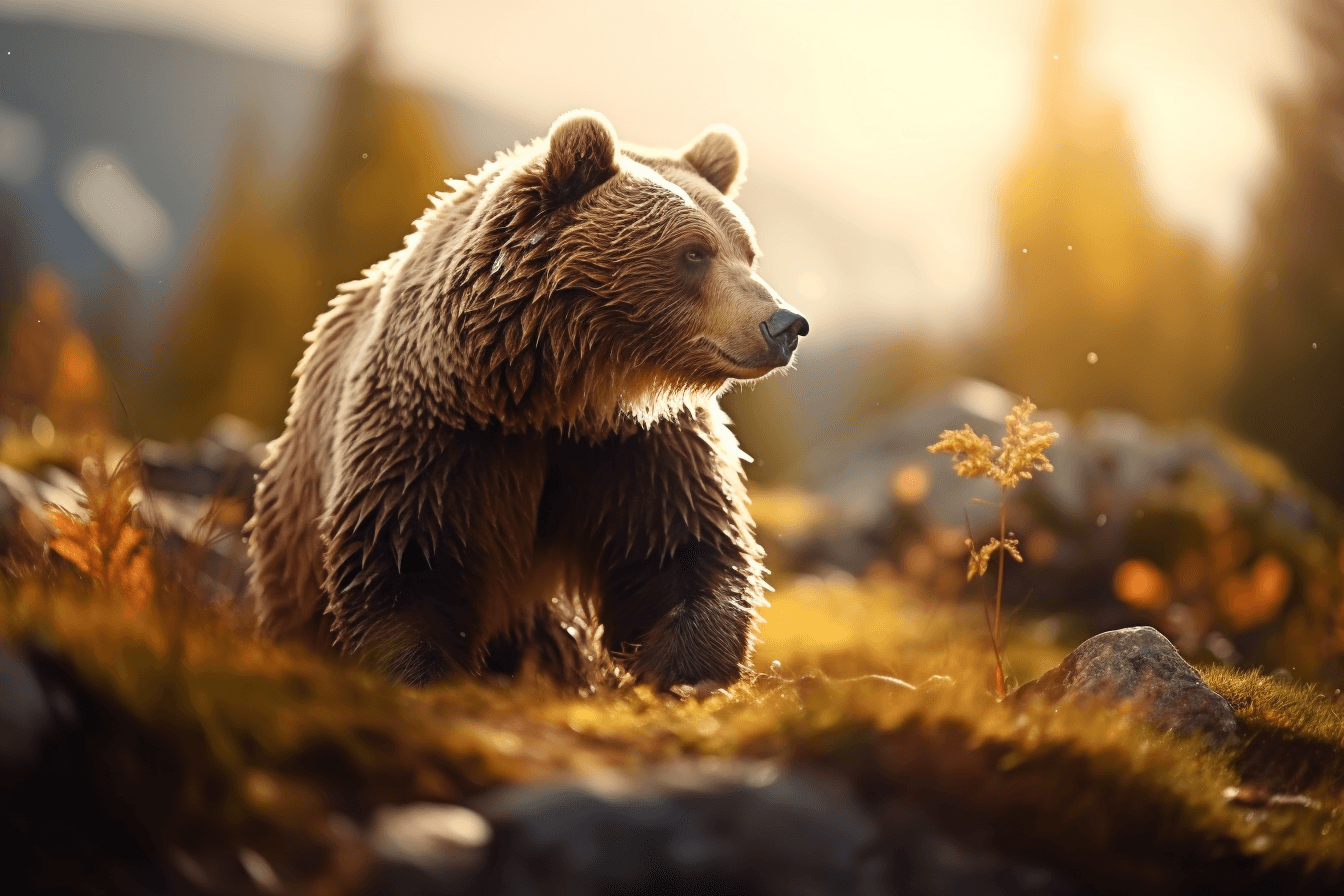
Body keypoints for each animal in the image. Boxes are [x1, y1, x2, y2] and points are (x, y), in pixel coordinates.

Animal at [246, 109, 809, 692]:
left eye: (747, 251)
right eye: (694, 252)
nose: (785, 324)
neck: (552, 393)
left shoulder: (635, 445)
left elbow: (681, 549)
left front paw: (687, 672)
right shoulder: (437, 435)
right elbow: (406, 562)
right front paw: (419, 671)